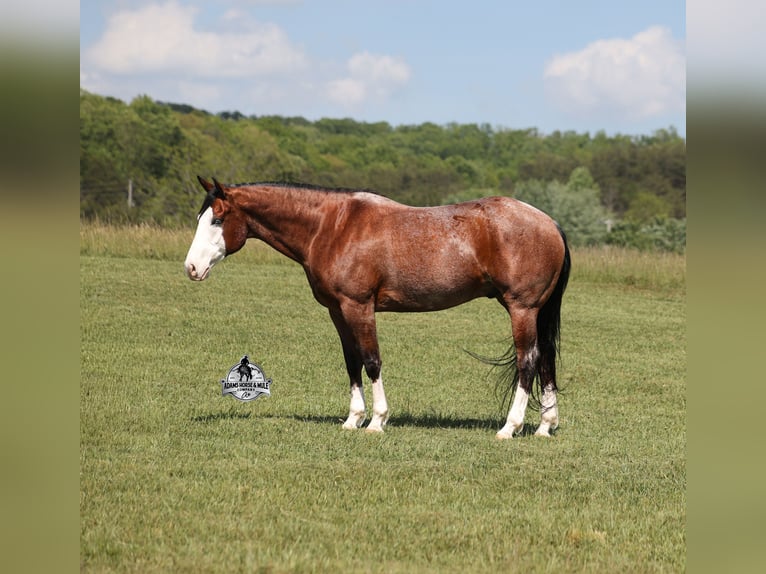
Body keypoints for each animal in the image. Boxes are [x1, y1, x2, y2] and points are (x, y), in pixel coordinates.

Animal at [184, 176, 571, 439]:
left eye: (217, 220)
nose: (191, 268)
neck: (333, 226)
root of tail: (550, 223)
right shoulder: (338, 311)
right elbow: (352, 362)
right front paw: (353, 419)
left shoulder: (359, 307)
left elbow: (371, 361)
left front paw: (377, 421)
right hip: (536, 312)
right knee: (545, 360)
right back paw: (544, 426)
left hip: (522, 309)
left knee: (528, 362)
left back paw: (510, 427)